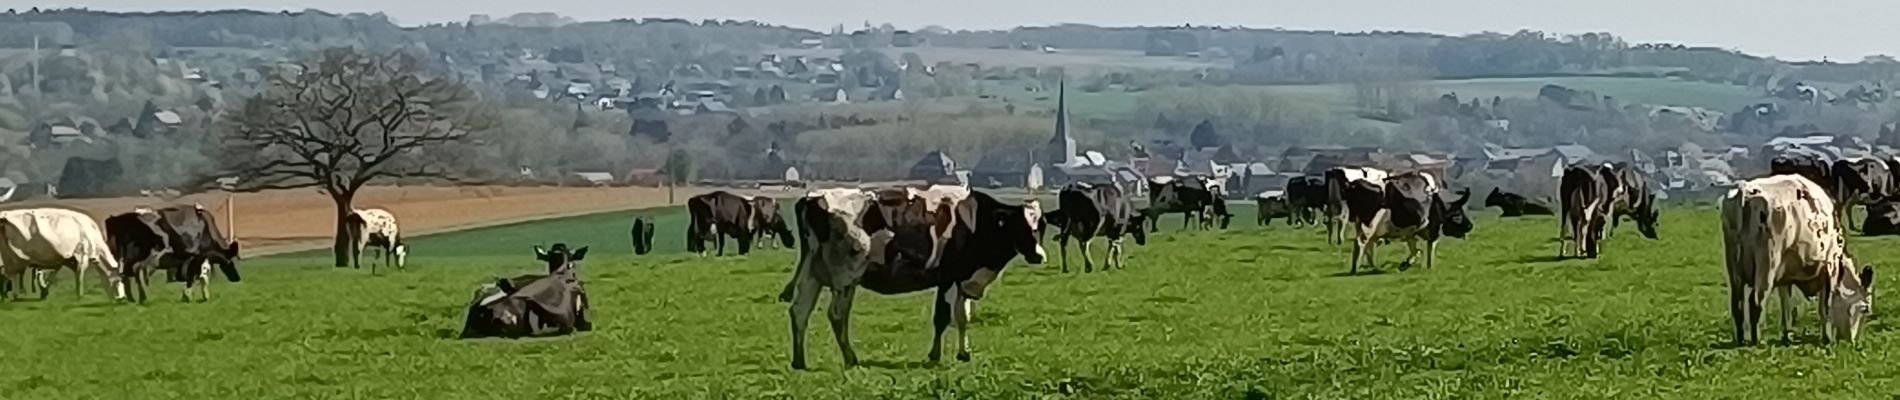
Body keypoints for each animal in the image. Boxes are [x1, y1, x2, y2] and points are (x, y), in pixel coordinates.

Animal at [782, 187, 1056, 369]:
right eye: (1020, 226)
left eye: (1041, 226)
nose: (1038, 256)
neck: (976, 220)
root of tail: (811, 197)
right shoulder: (950, 277)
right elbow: (946, 318)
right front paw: (938, 356)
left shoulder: (961, 279)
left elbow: (960, 317)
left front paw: (962, 353)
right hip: (846, 276)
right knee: (837, 315)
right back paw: (850, 358)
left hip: (813, 273)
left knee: (799, 311)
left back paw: (799, 360)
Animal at [1337, 171, 1466, 274]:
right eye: (1458, 213)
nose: (1469, 225)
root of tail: (1352, 185)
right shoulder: (1431, 229)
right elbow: (1429, 247)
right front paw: (1426, 266)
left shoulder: (1410, 231)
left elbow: (1415, 247)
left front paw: (1407, 263)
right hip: (1369, 226)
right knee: (1361, 242)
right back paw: (1357, 269)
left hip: (1360, 224)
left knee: (1364, 244)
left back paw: (1367, 267)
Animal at [1725, 173, 1869, 345]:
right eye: (1865, 309)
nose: (1852, 341)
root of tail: (1745, 190)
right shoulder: (1829, 268)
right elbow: (1825, 307)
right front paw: (1827, 338)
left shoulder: (1784, 277)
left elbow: (1786, 306)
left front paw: (1787, 335)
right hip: (1767, 264)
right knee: (1756, 302)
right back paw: (1757, 340)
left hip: (1734, 267)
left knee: (1737, 305)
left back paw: (1741, 339)